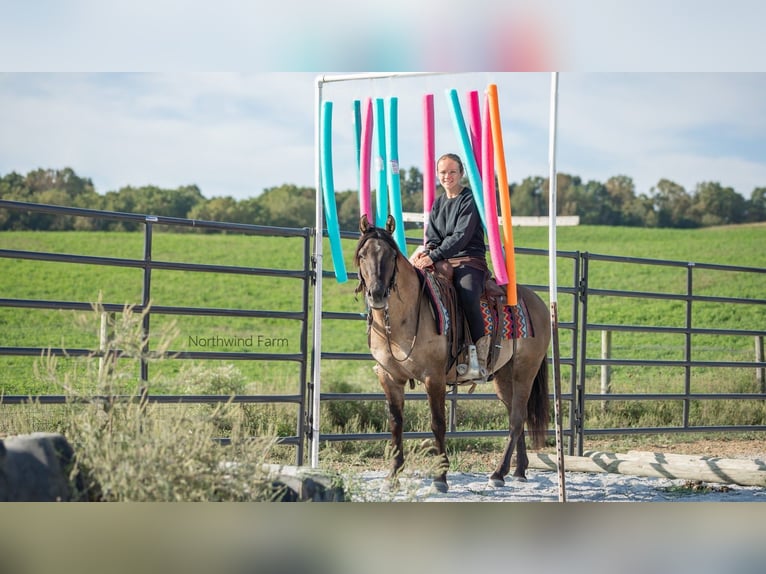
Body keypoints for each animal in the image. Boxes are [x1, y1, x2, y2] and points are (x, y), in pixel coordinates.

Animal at [354, 216, 552, 496]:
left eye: (391, 255)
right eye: (362, 255)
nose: (377, 294)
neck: (406, 316)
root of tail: (538, 303)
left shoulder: (433, 378)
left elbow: (437, 423)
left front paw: (440, 478)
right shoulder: (390, 378)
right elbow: (395, 424)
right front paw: (392, 477)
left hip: (525, 371)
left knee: (515, 419)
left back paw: (498, 473)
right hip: (504, 377)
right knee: (519, 415)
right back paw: (518, 471)